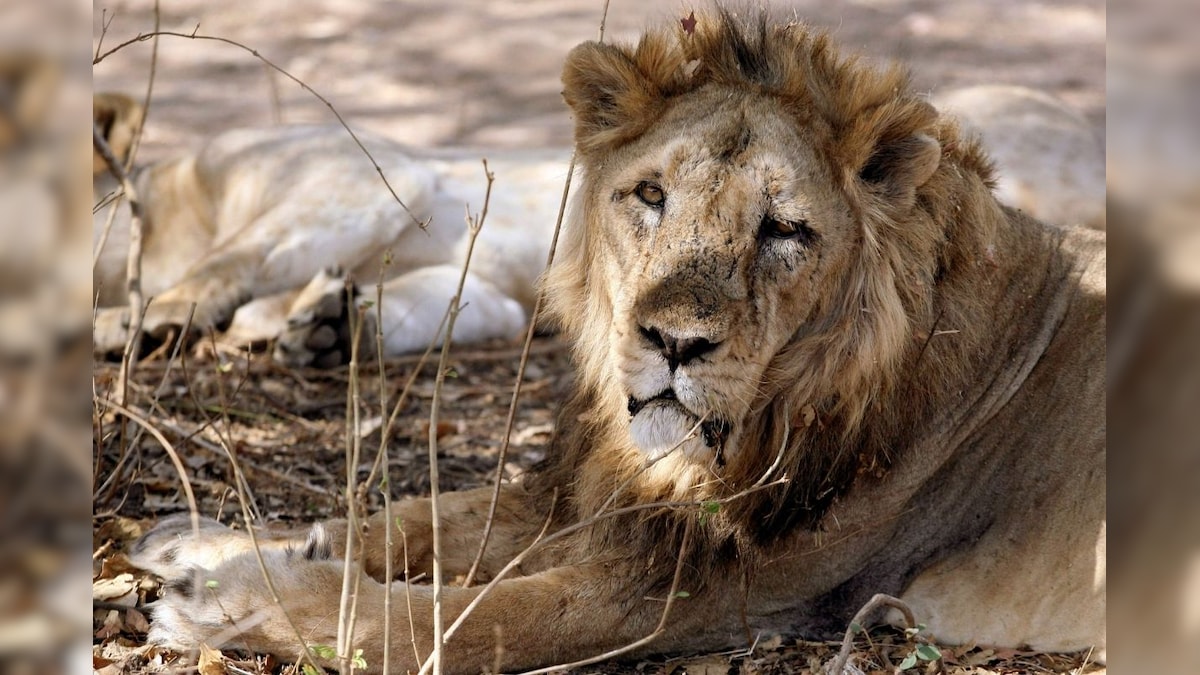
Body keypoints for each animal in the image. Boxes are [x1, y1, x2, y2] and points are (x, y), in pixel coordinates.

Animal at [126, 11, 1099, 672]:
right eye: (651, 196)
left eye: (785, 229)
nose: (673, 341)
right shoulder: (587, 495)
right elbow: (407, 517)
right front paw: (205, 544)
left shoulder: (707, 590)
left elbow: (447, 620)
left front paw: (223, 598)